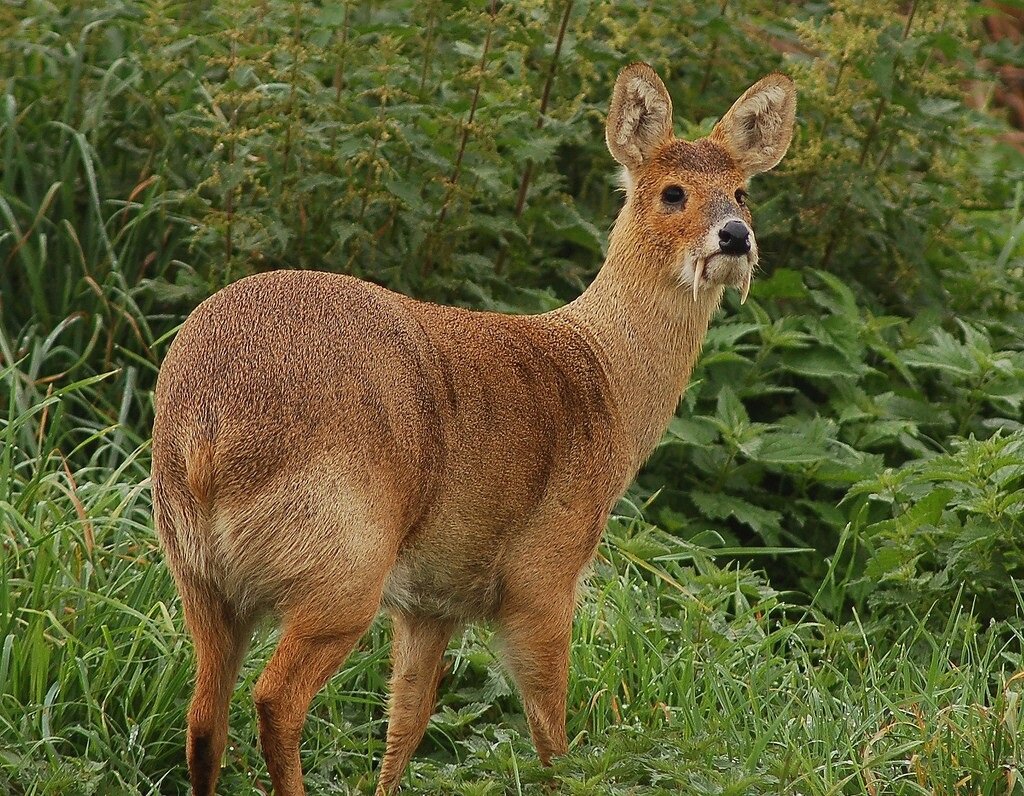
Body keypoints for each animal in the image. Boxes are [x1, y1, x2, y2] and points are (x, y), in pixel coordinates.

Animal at [148, 63, 794, 794]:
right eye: (672, 191)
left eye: (742, 191)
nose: (736, 237)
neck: (601, 379)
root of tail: (205, 430)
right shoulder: (543, 577)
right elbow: (551, 738)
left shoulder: (433, 600)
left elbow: (406, 724)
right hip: (341, 565)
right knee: (274, 700)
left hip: (200, 574)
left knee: (204, 718)